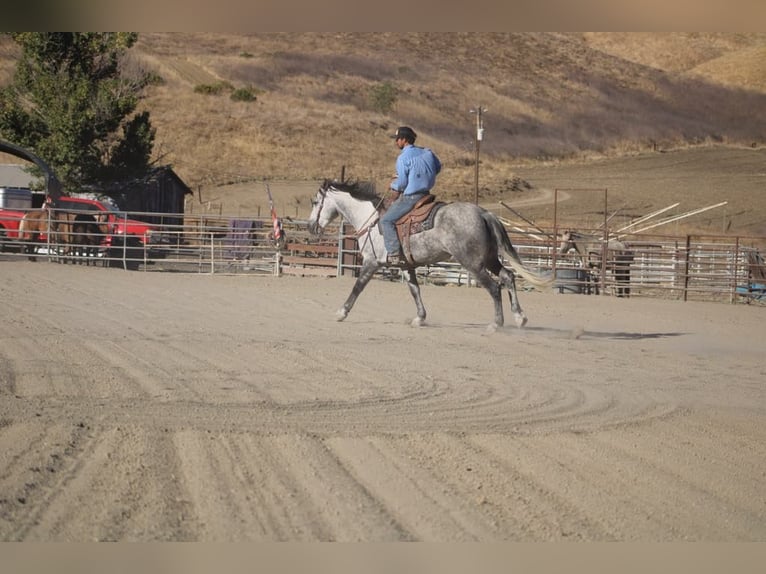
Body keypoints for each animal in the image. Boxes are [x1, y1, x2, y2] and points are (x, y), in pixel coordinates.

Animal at [306, 178, 552, 330]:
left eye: (316, 202)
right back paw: (520, 317)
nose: (310, 227)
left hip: (473, 263)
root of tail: (484, 213)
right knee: (508, 277)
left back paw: (496, 324)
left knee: (494, 287)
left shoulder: (371, 262)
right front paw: (420, 318)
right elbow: (415, 290)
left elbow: (357, 287)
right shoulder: (406, 266)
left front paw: (341, 312)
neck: (372, 219)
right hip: (490, 258)